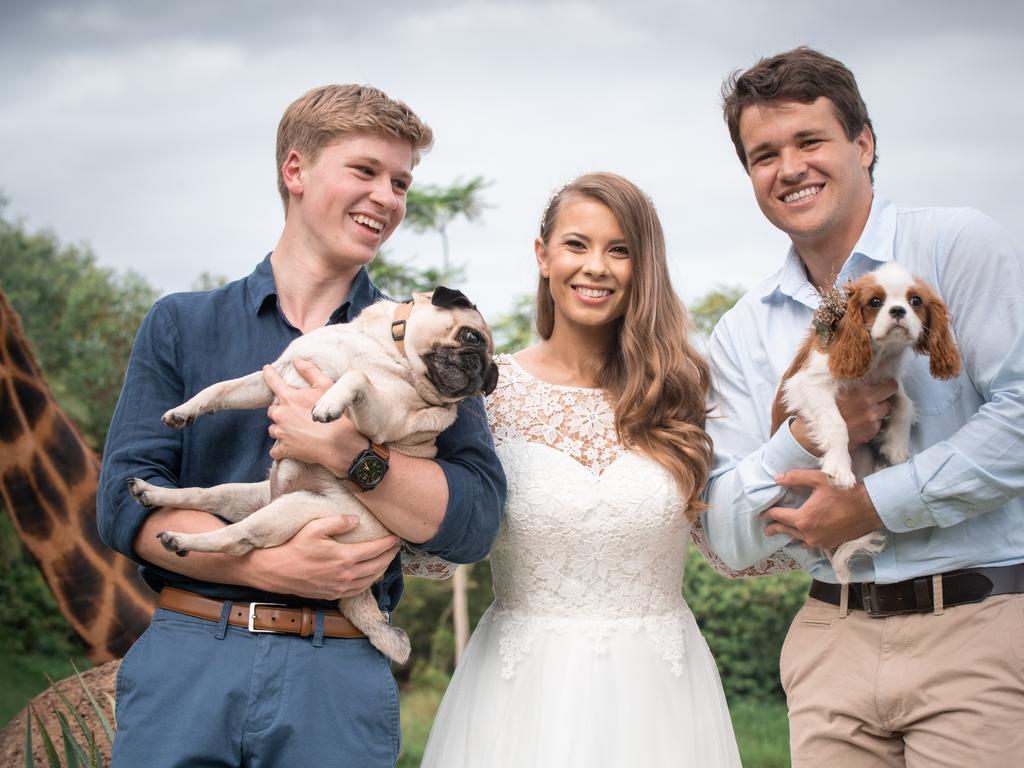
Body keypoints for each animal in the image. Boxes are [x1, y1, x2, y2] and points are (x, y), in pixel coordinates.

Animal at [770, 264, 958, 581]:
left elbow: (905, 404)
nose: (898, 311)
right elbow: (837, 424)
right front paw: (839, 469)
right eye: (875, 302)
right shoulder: (809, 384)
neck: (878, 357)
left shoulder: (890, 382)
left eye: (915, 301)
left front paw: (896, 448)